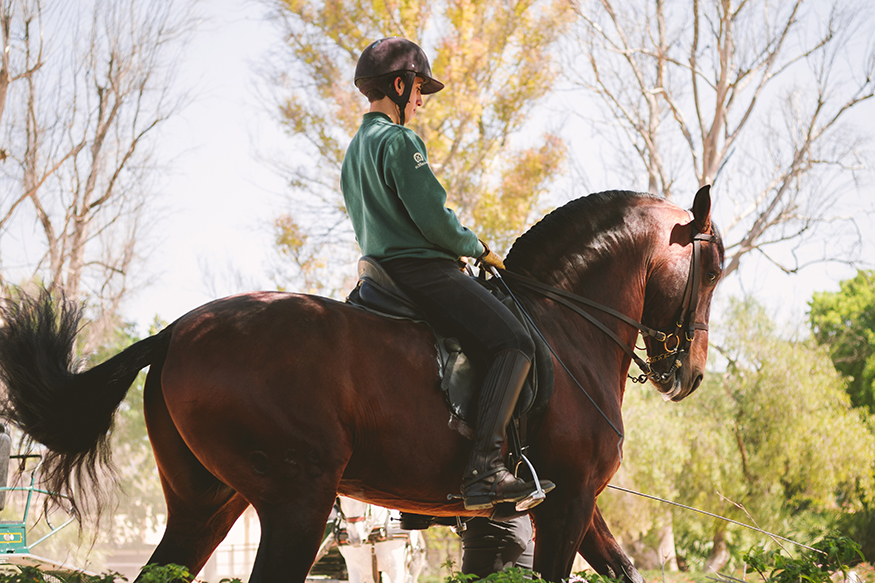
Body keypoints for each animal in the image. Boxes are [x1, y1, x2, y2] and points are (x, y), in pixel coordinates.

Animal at [0, 188, 724, 583]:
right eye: (714, 267)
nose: (687, 375)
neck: (563, 323)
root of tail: (178, 329)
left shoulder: (579, 504)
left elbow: (625, 568)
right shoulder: (567, 500)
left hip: (207, 501)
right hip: (297, 498)